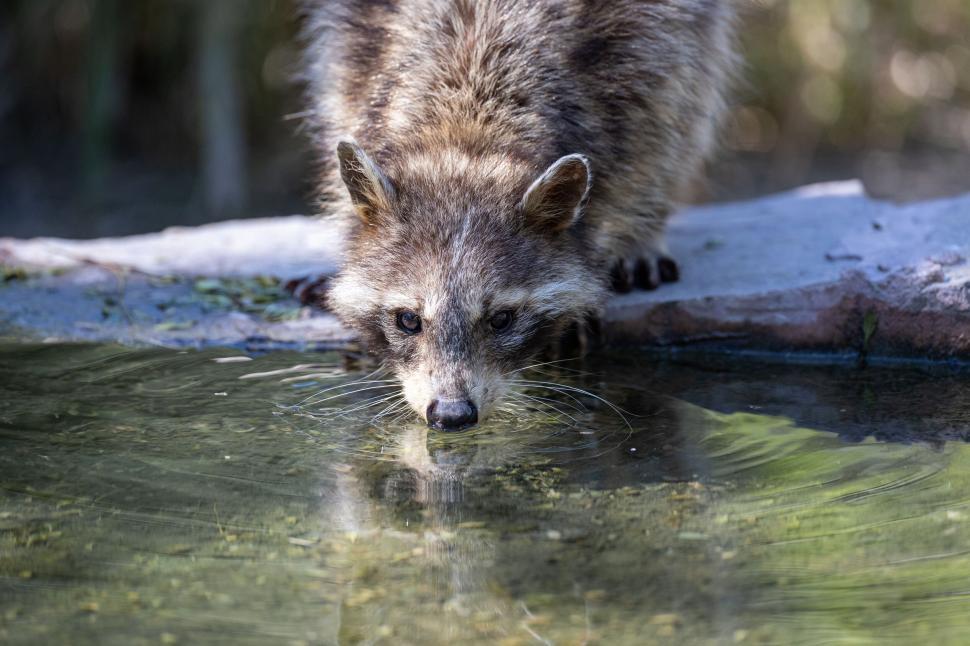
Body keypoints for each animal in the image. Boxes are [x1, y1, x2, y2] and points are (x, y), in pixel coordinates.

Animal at [304, 0, 735, 430]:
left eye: (502, 319)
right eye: (408, 320)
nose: (451, 414)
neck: (467, 131)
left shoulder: (640, 47)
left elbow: (661, 122)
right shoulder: (367, 41)